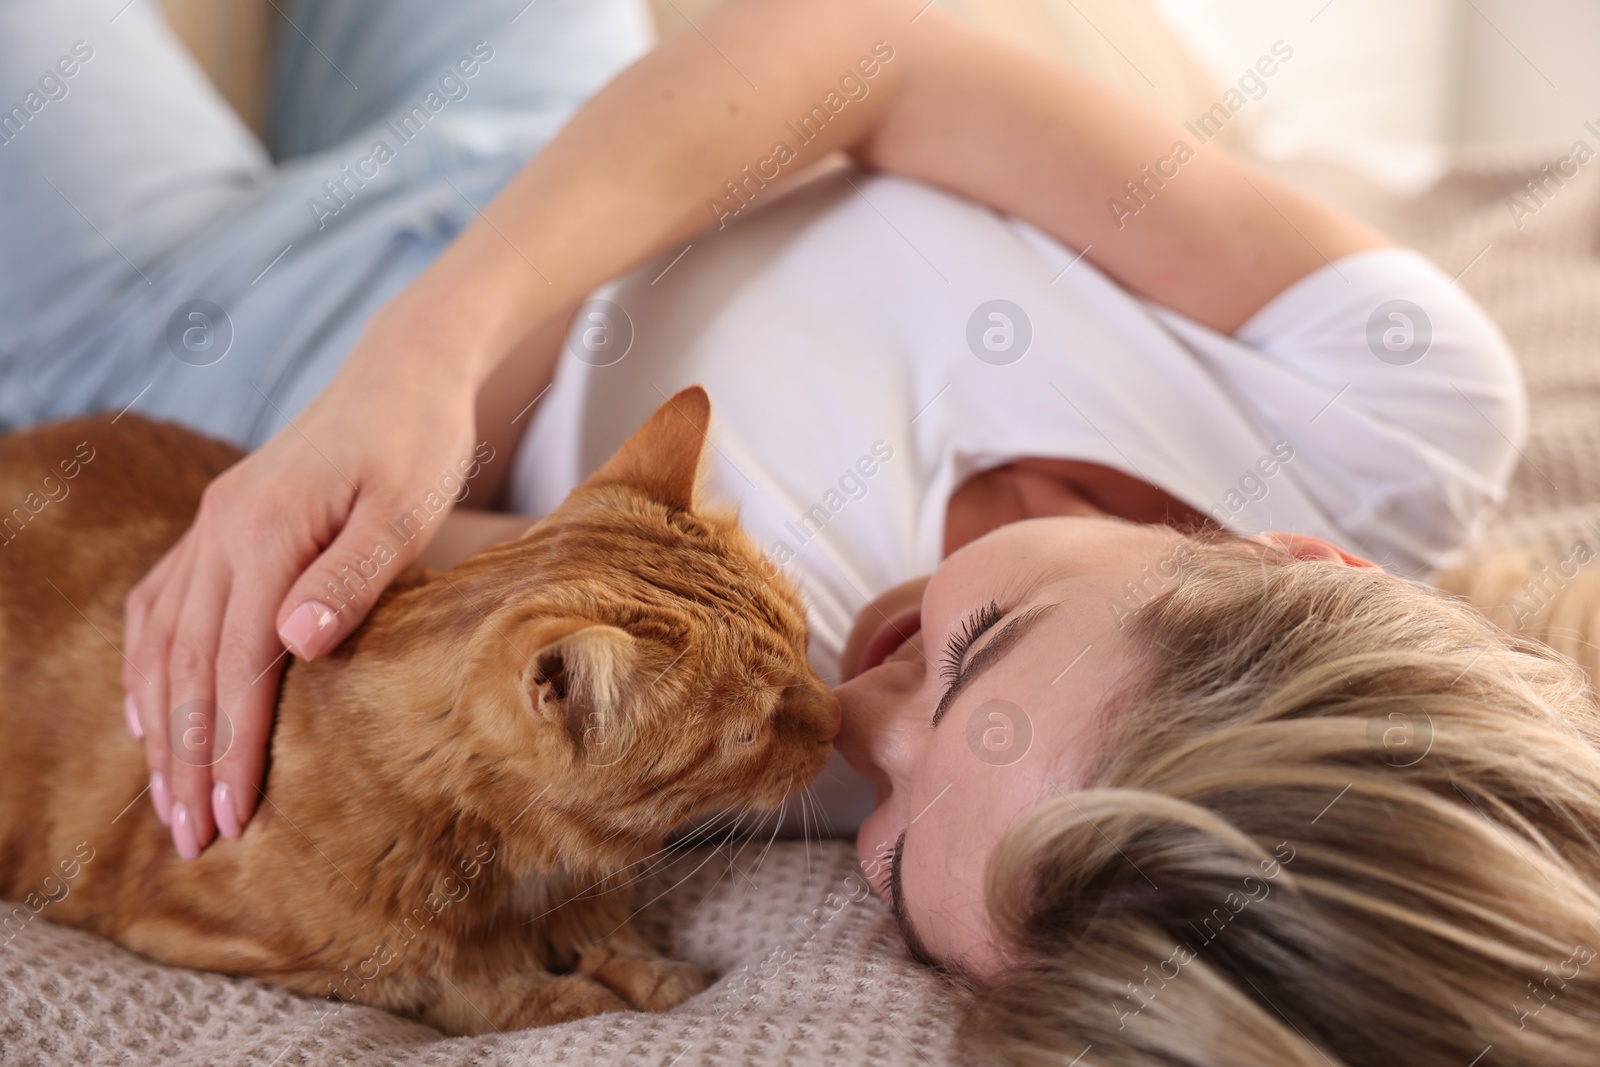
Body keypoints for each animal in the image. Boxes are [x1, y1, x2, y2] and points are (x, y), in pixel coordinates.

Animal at [0, 388, 838, 1036]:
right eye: (752, 729)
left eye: (805, 643)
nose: (839, 716)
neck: (513, 864)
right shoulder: (191, 926)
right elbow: (433, 979)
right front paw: (553, 991)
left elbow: (608, 927)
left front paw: (640, 965)